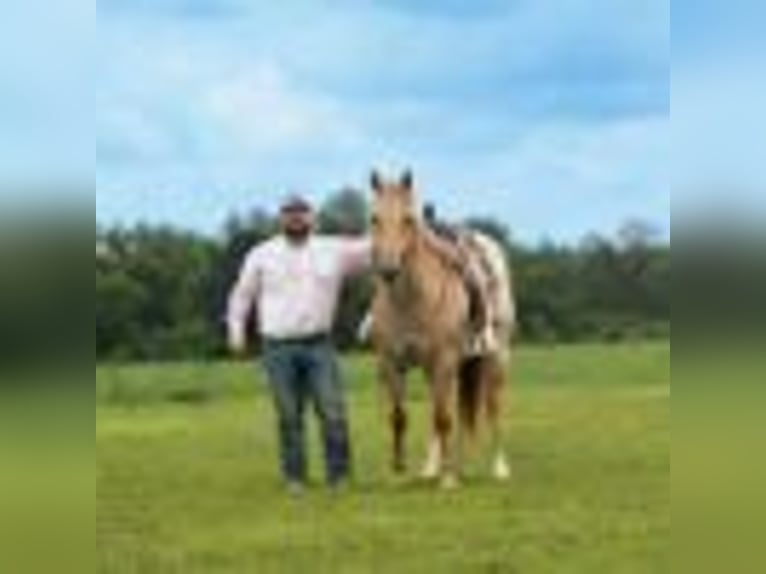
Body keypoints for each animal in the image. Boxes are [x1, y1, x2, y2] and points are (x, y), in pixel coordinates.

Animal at [368, 169, 515, 489]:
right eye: (374, 218)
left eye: (408, 219)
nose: (388, 269)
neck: (411, 301)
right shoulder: (391, 362)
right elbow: (399, 415)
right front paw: (397, 472)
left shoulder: (444, 360)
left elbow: (443, 417)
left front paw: (448, 480)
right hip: (440, 368)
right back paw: (433, 468)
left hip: (495, 358)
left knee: (491, 407)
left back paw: (498, 468)